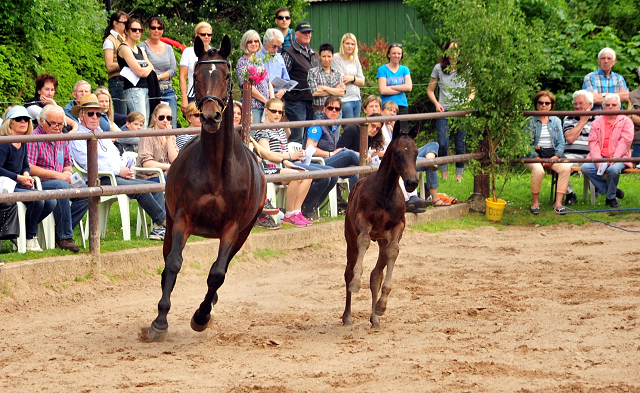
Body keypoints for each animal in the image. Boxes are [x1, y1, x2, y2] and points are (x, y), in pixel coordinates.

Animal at [148, 35, 264, 340]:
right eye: (197, 76)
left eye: (226, 75)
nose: (211, 117)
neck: (216, 168)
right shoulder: (182, 219)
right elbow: (174, 263)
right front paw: (160, 320)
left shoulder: (233, 228)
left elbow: (217, 273)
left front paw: (201, 316)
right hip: (170, 222)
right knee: (168, 261)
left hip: (244, 233)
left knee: (222, 268)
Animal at [340, 120, 420, 328]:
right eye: (397, 153)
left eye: (416, 152)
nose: (411, 182)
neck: (385, 192)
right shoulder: (363, 221)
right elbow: (364, 241)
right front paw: (356, 283)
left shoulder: (398, 226)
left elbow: (393, 252)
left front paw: (382, 306)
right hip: (349, 239)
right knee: (348, 271)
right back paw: (347, 315)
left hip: (382, 240)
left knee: (376, 275)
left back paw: (374, 316)